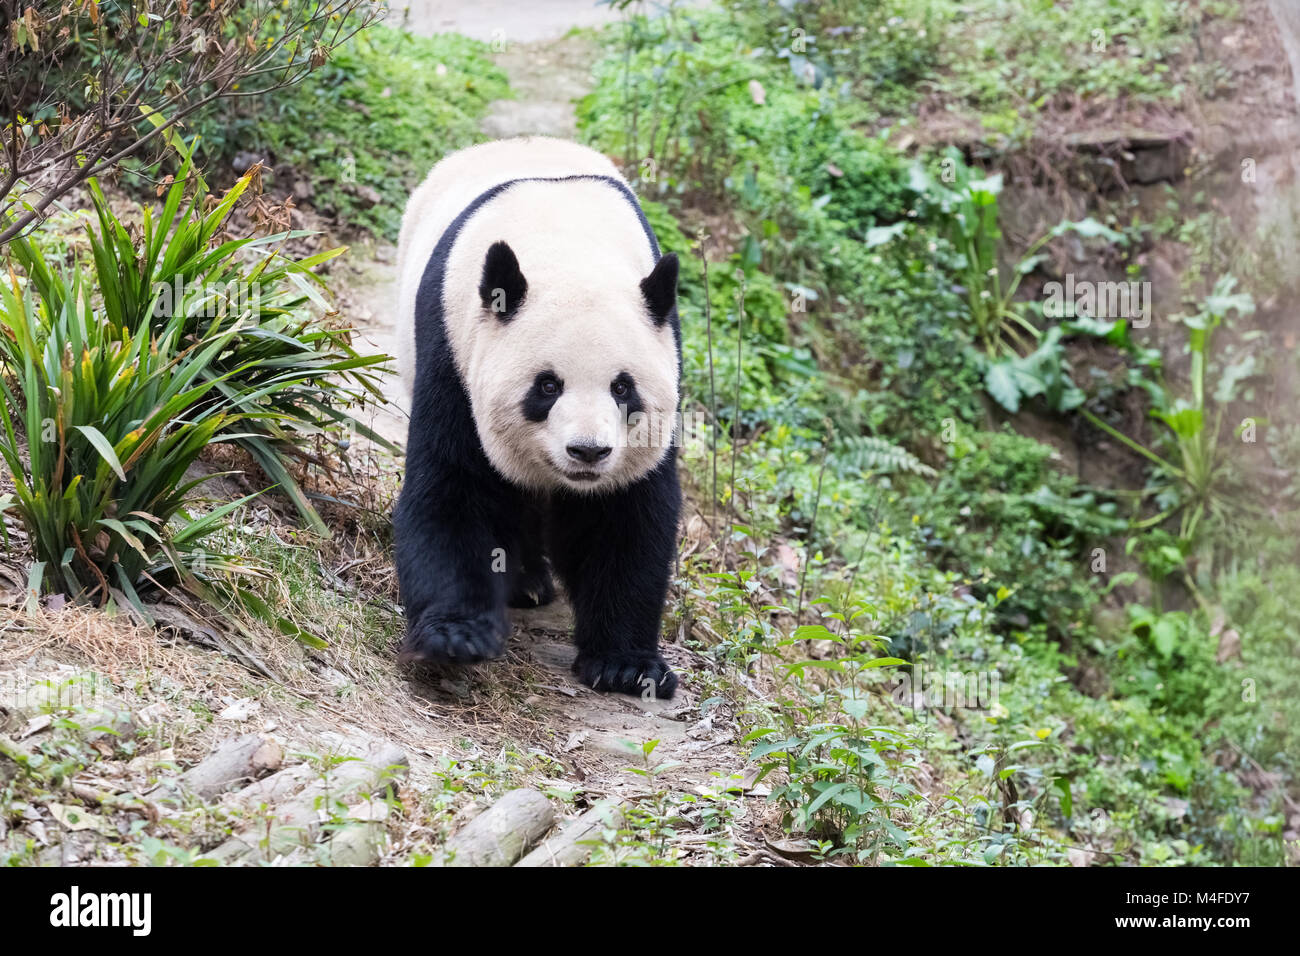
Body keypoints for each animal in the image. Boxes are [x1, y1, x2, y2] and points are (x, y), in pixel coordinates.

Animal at [392, 137, 682, 699]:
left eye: (622, 388)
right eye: (547, 386)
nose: (588, 452)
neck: (566, 246)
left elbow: (625, 517)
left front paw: (625, 664)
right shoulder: (454, 354)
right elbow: (454, 489)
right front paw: (458, 636)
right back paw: (526, 582)